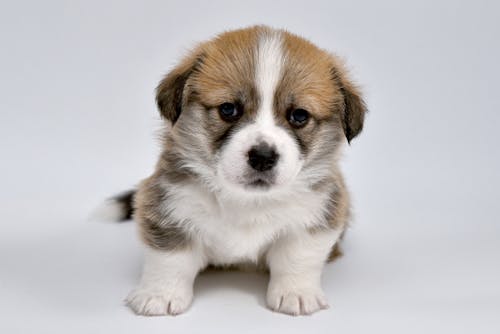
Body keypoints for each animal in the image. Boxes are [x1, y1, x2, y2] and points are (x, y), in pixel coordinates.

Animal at [101, 25, 368, 316]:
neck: (246, 200)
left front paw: (296, 293)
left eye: (299, 116)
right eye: (228, 109)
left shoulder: (316, 213)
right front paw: (159, 294)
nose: (262, 157)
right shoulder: (169, 205)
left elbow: (298, 257)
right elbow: (170, 257)